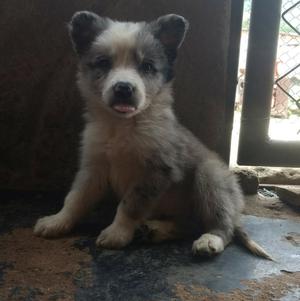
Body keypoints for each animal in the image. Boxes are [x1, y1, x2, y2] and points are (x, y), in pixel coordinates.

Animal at [34, 11, 272, 258]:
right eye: (104, 63)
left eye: (147, 66)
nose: (124, 88)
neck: (122, 126)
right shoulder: (94, 166)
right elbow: (76, 198)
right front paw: (57, 221)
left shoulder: (156, 170)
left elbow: (130, 204)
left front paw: (117, 233)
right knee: (189, 224)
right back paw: (156, 230)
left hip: (210, 176)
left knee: (220, 225)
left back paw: (209, 240)